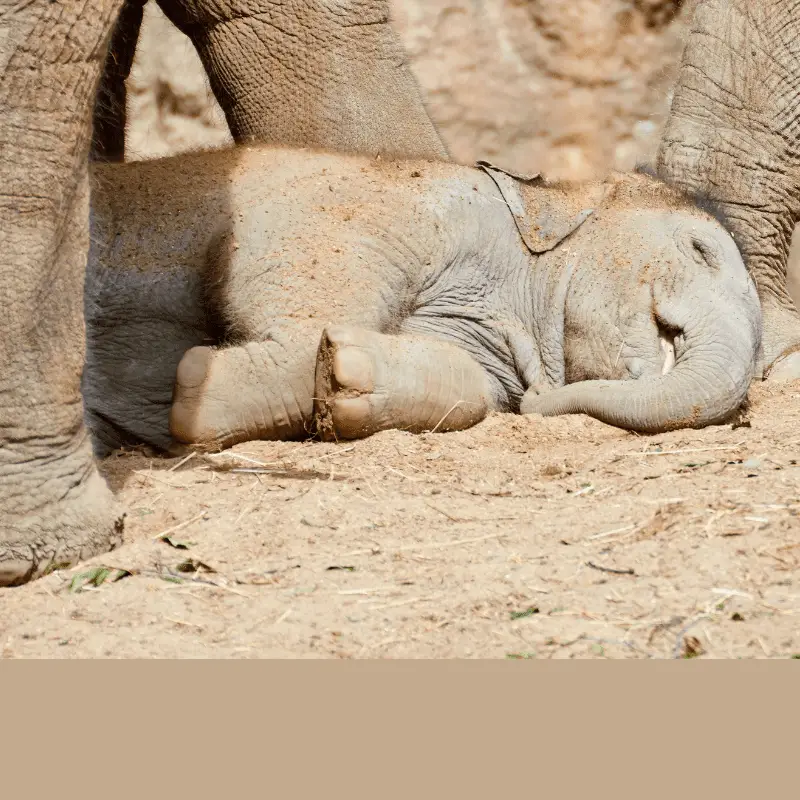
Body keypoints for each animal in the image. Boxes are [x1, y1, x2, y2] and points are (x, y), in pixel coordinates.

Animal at [84, 145, 760, 456]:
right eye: (699, 248)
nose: (539, 401)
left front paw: (348, 372)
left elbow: (474, 393)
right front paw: (193, 385)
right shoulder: (381, 211)